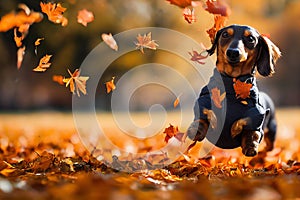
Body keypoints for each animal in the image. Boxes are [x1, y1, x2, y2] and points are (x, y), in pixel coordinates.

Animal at [188, 24, 282, 156]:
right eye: (225, 34)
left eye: (251, 39)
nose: (233, 52)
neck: (231, 87)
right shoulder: (204, 103)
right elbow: (203, 116)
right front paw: (196, 129)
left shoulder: (255, 117)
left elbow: (250, 130)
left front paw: (250, 145)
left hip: (272, 130)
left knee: (270, 145)